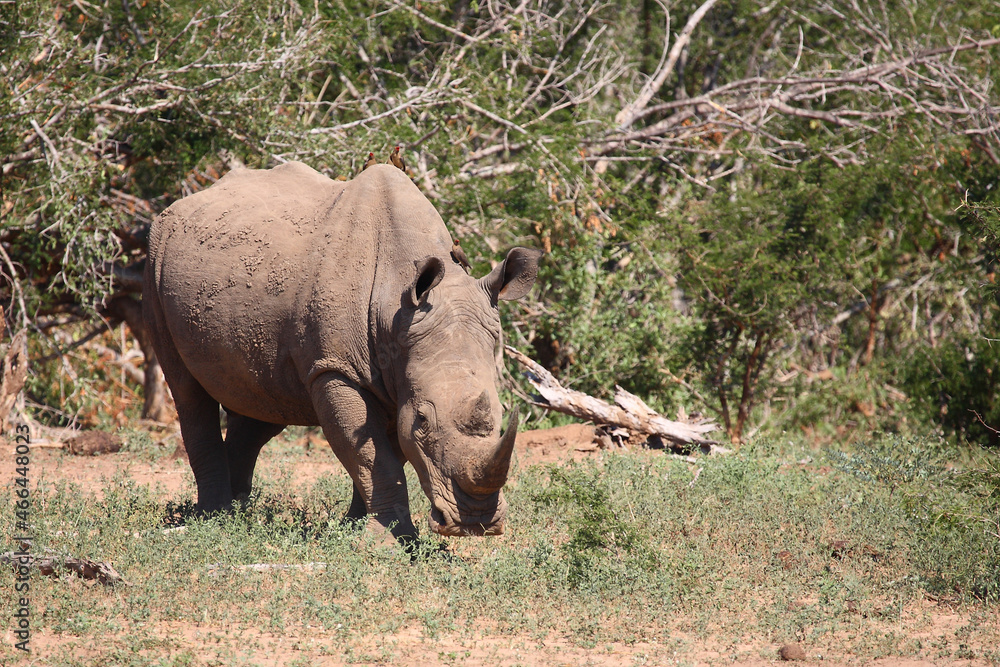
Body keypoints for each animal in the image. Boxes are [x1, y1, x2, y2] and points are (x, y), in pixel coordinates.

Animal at [143, 161, 541, 539]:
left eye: (501, 415)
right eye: (424, 422)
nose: (475, 522)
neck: (395, 305)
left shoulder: (397, 374)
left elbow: (381, 453)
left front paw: (358, 529)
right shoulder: (335, 369)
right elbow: (372, 457)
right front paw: (389, 541)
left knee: (260, 399)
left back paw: (238, 513)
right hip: (154, 258)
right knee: (188, 392)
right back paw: (214, 518)